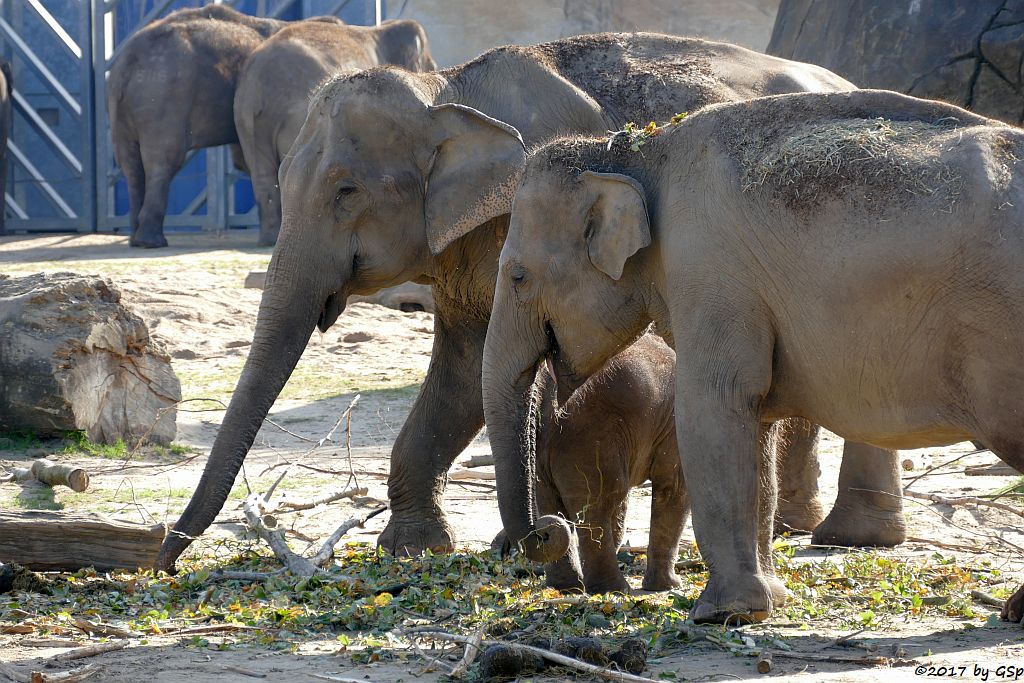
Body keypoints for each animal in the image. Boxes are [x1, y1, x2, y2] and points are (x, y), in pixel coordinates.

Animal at [108, 5, 290, 248]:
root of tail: (127, 62)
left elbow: (244, 159)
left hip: (122, 109)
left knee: (131, 166)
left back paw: (136, 240)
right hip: (162, 98)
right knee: (163, 163)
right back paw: (152, 242)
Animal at [235, 16, 436, 248]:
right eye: (430, 67)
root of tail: (255, 85)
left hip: (246, 120)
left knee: (262, 176)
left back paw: (268, 239)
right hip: (294, 114)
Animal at [528, 331, 688, 593]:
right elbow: (674, 487)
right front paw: (669, 586)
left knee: (552, 501)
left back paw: (567, 587)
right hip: (587, 440)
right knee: (598, 502)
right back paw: (613, 589)